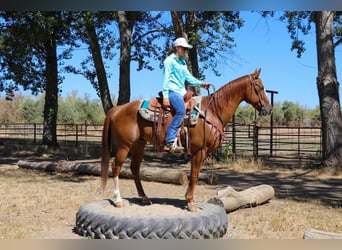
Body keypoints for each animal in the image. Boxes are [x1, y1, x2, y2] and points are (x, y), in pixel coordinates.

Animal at [100, 68, 272, 211]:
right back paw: (119, 200)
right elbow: (194, 175)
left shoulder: (201, 152)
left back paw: (144, 198)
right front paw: (190, 203)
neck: (212, 111)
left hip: (139, 144)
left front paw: (189, 200)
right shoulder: (199, 151)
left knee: (134, 168)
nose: (269, 109)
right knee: (116, 167)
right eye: (260, 87)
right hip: (124, 146)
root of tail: (117, 109)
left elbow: (194, 174)